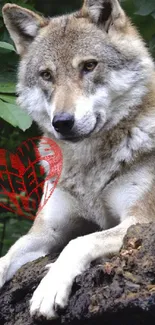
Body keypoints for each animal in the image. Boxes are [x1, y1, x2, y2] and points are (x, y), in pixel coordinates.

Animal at [1, 0, 155, 318]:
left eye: (89, 66)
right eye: (47, 75)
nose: (62, 122)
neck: (87, 165)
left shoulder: (141, 221)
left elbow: (78, 241)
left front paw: (49, 288)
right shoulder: (46, 231)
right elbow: (6, 256)